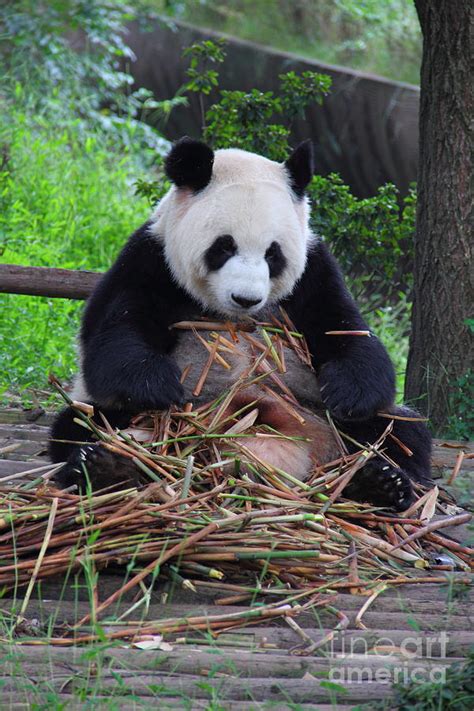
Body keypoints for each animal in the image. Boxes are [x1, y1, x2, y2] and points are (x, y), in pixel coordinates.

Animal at [50, 136, 432, 508]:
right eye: (224, 247)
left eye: (273, 254)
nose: (246, 299)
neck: (233, 317)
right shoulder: (150, 261)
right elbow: (114, 342)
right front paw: (159, 384)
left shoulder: (315, 275)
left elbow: (350, 334)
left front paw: (346, 392)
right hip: (119, 418)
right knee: (81, 424)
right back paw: (105, 467)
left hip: (332, 424)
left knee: (400, 430)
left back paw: (381, 483)